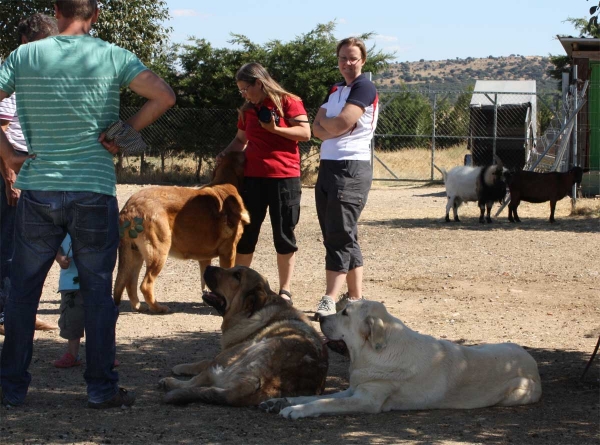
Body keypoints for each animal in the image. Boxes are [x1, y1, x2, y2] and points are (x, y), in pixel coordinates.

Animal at [113, 153, 250, 312]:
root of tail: (129, 207)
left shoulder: (205, 258)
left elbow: (204, 281)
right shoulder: (229, 252)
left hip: (135, 254)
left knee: (131, 283)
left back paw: (139, 306)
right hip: (158, 252)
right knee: (145, 285)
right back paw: (159, 308)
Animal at [157, 264, 328, 406]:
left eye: (237, 276)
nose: (208, 266)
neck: (250, 312)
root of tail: (268, 384)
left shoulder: (224, 356)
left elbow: (204, 362)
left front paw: (182, 367)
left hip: (242, 354)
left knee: (201, 379)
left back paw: (170, 383)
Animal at [260, 298, 540, 416]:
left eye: (345, 313)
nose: (320, 319)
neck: (373, 352)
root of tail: (533, 363)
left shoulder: (366, 401)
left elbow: (324, 403)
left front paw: (295, 411)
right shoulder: (353, 390)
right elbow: (312, 396)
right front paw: (279, 402)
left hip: (517, 392)